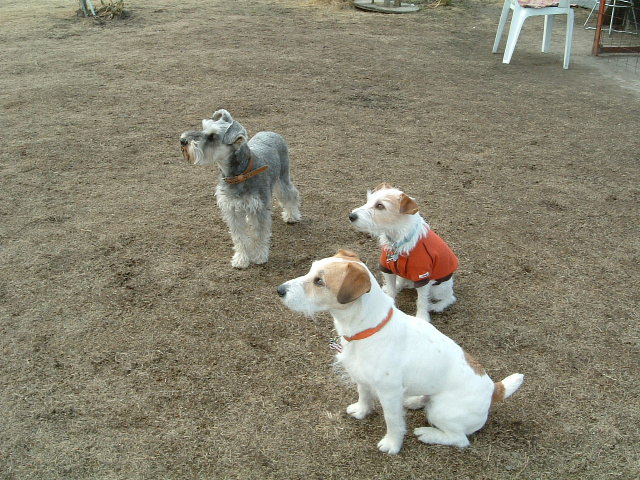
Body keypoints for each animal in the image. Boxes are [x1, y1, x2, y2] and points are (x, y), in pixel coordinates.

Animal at [180, 109, 301, 268]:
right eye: (204, 128)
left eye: (212, 136)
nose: (182, 140)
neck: (239, 174)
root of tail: (270, 132)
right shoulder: (232, 211)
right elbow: (239, 237)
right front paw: (241, 259)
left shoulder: (259, 208)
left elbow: (259, 234)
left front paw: (259, 255)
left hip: (282, 179)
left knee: (290, 194)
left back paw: (292, 216)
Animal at [277, 250, 523, 454]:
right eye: (311, 270)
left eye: (319, 281)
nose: (279, 290)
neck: (368, 329)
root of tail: (494, 389)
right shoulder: (361, 378)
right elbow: (363, 395)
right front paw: (361, 411)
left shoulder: (389, 393)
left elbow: (393, 422)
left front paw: (392, 444)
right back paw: (415, 400)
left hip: (442, 411)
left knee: (459, 439)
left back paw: (428, 434)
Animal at [349, 183, 457, 321]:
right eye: (368, 200)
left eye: (380, 205)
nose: (351, 216)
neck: (397, 241)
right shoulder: (387, 269)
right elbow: (391, 291)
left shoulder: (422, 278)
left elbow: (422, 301)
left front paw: (422, 318)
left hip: (439, 288)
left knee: (450, 298)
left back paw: (437, 306)